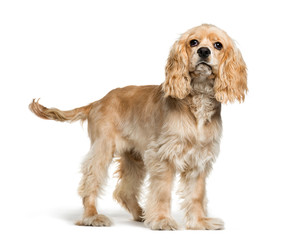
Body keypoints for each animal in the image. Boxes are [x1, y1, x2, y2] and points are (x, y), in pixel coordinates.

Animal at [29, 23, 247, 230]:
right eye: (193, 42)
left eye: (218, 45)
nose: (203, 51)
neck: (198, 101)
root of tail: (98, 101)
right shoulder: (163, 156)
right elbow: (162, 191)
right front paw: (162, 220)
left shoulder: (199, 158)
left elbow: (197, 195)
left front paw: (200, 223)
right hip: (102, 149)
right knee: (90, 182)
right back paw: (92, 216)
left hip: (133, 157)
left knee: (123, 191)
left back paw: (141, 214)